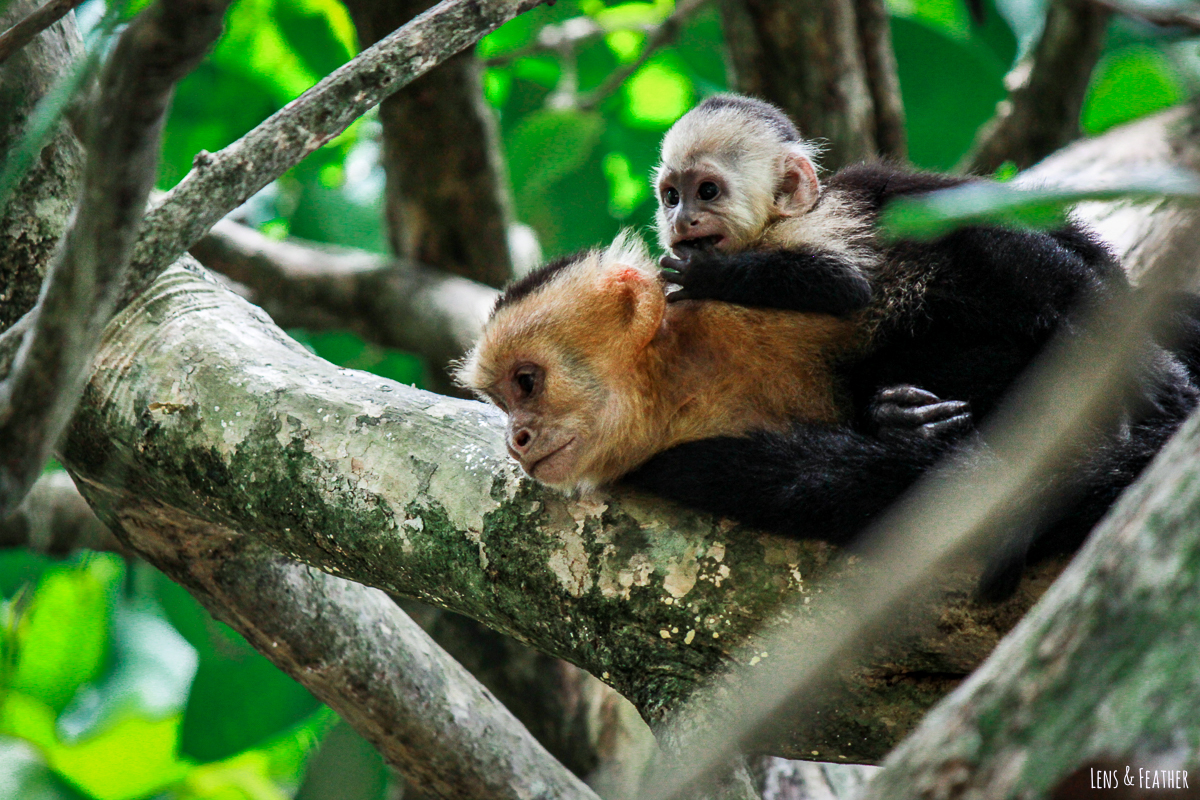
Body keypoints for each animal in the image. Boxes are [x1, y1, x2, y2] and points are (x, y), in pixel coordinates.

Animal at [633, 92, 1195, 594]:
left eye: (707, 191)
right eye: (671, 196)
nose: (681, 221)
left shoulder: (823, 223)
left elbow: (843, 284)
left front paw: (706, 275)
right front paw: (896, 417)